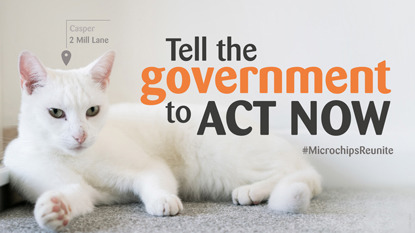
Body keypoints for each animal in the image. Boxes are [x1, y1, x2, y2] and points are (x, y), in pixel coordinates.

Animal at [2, 51, 322, 231]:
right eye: (56, 113)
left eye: (92, 111)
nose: (80, 135)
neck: (76, 159)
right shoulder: (79, 190)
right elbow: (73, 196)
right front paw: (53, 210)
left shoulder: (148, 166)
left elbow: (154, 182)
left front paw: (163, 201)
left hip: (224, 159)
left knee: (295, 173)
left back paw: (252, 191)